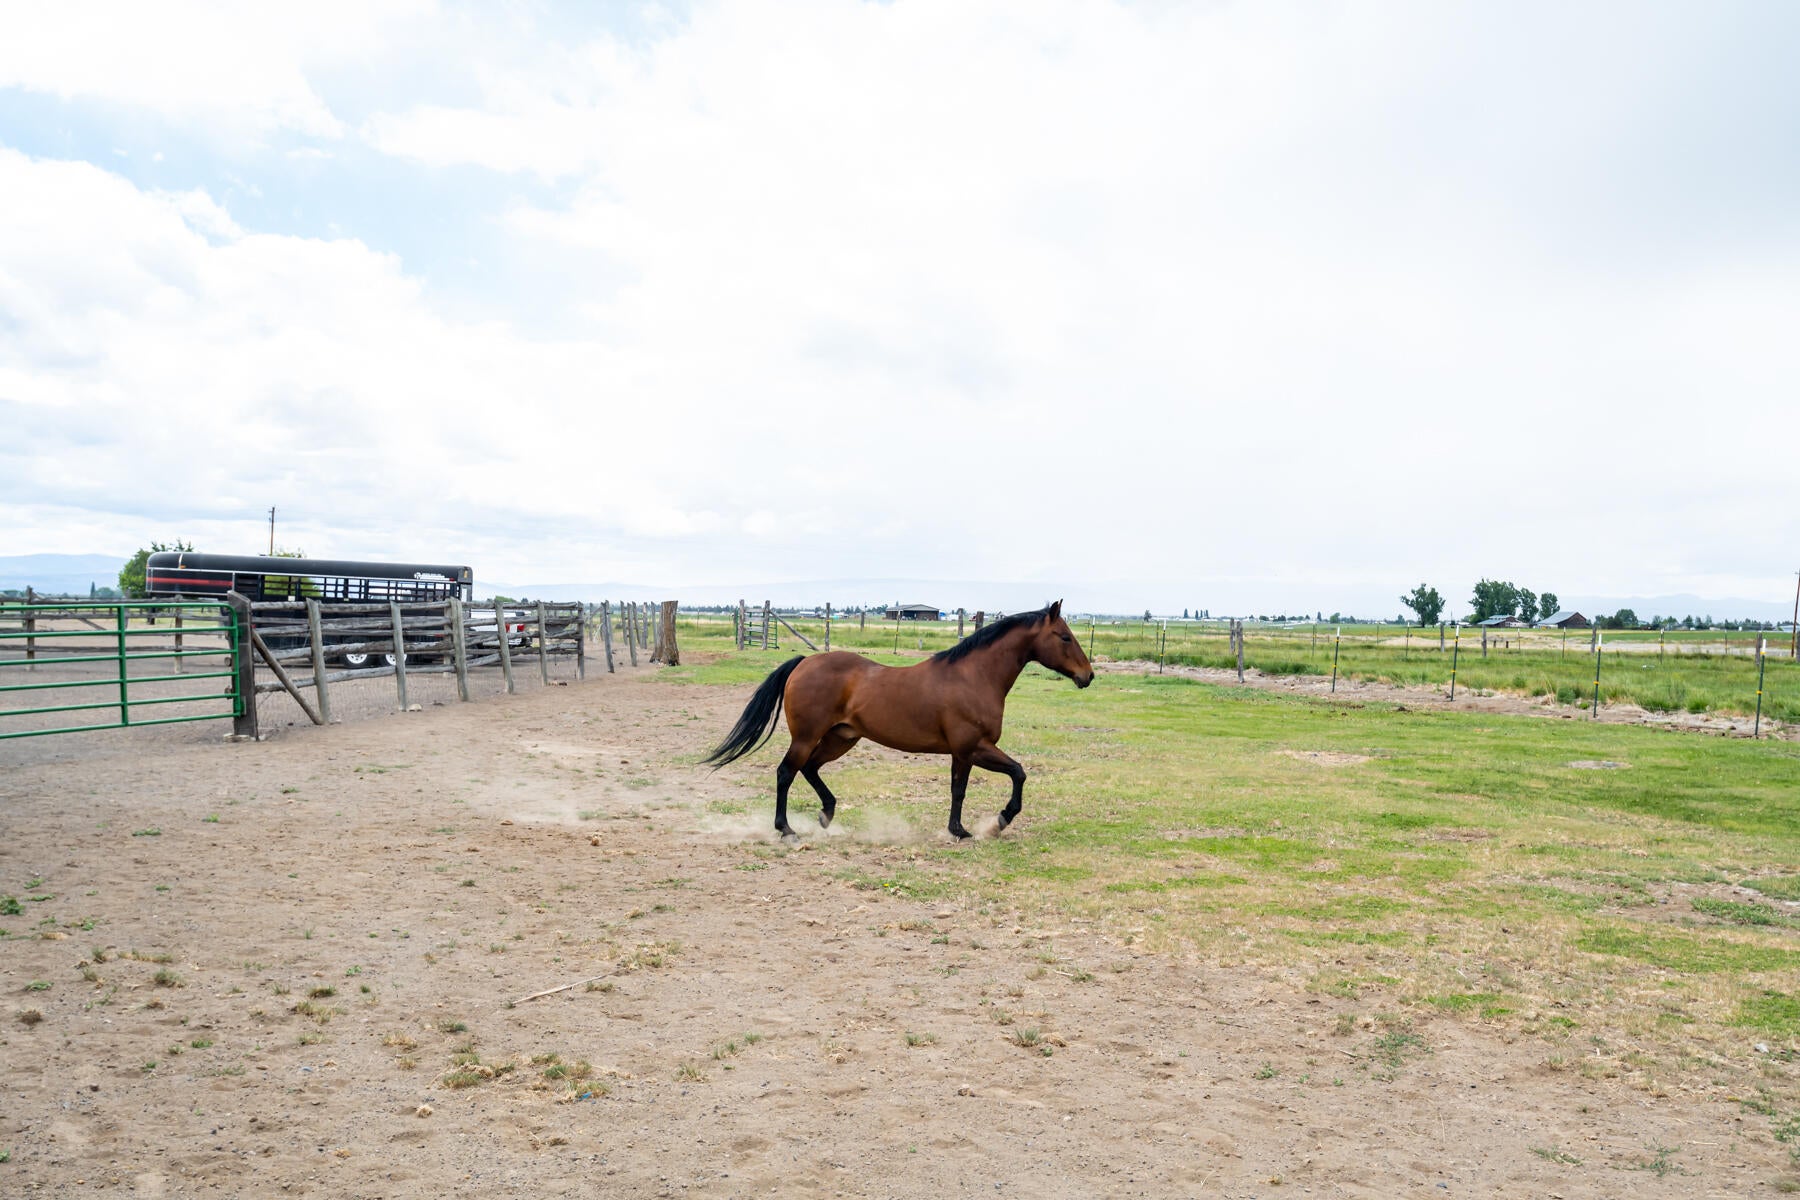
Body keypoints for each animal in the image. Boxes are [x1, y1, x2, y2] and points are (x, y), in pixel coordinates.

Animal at [704, 601, 1094, 840]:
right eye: (1064, 636)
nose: (1087, 676)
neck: (973, 676)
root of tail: (804, 662)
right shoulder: (972, 747)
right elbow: (995, 779)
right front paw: (985, 824)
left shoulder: (969, 751)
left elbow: (986, 781)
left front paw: (976, 825)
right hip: (808, 736)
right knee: (787, 772)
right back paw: (785, 829)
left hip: (841, 738)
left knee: (810, 769)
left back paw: (827, 814)